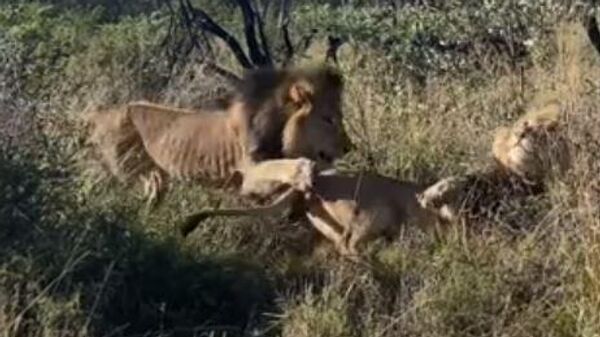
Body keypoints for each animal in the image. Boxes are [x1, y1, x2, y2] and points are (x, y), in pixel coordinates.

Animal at [86, 63, 354, 205]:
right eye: (328, 119)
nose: (348, 148)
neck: (281, 129)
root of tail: (99, 113)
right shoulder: (249, 174)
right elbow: (281, 166)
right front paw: (304, 171)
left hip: (153, 175)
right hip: (125, 170)